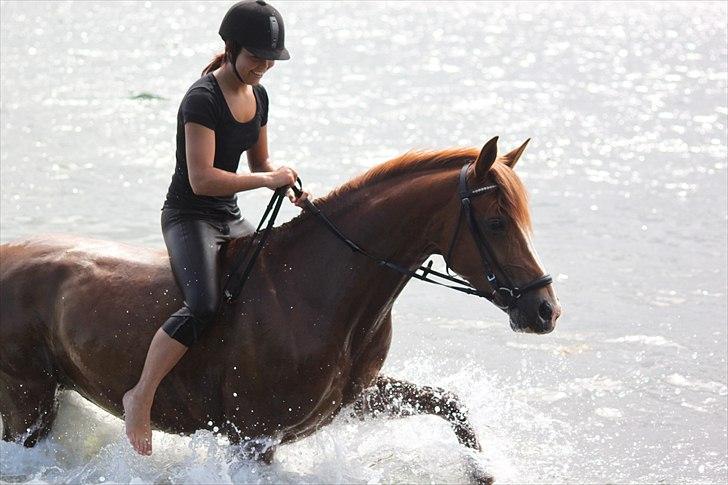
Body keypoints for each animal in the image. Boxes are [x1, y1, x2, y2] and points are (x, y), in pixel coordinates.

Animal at [0, 136, 560, 480]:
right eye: (496, 223)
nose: (545, 311)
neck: (321, 290)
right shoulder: (255, 438)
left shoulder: (354, 399)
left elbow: (450, 405)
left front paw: (483, 473)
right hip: (27, 400)